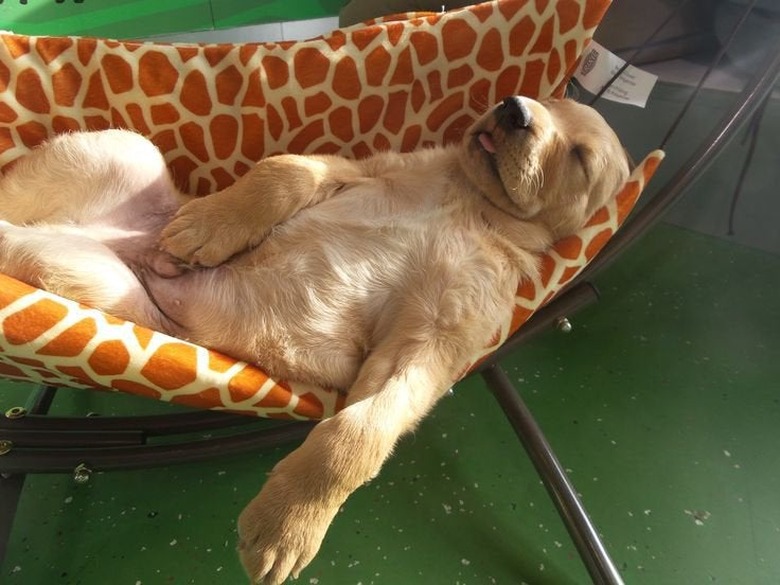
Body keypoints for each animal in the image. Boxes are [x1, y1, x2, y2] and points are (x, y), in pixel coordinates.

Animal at [0, 96, 628, 580]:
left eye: (580, 156)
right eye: (537, 102)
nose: (512, 107)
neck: (472, 204)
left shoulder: (431, 343)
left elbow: (355, 436)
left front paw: (288, 525)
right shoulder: (354, 167)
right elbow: (285, 171)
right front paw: (209, 225)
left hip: (85, 276)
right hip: (120, 150)